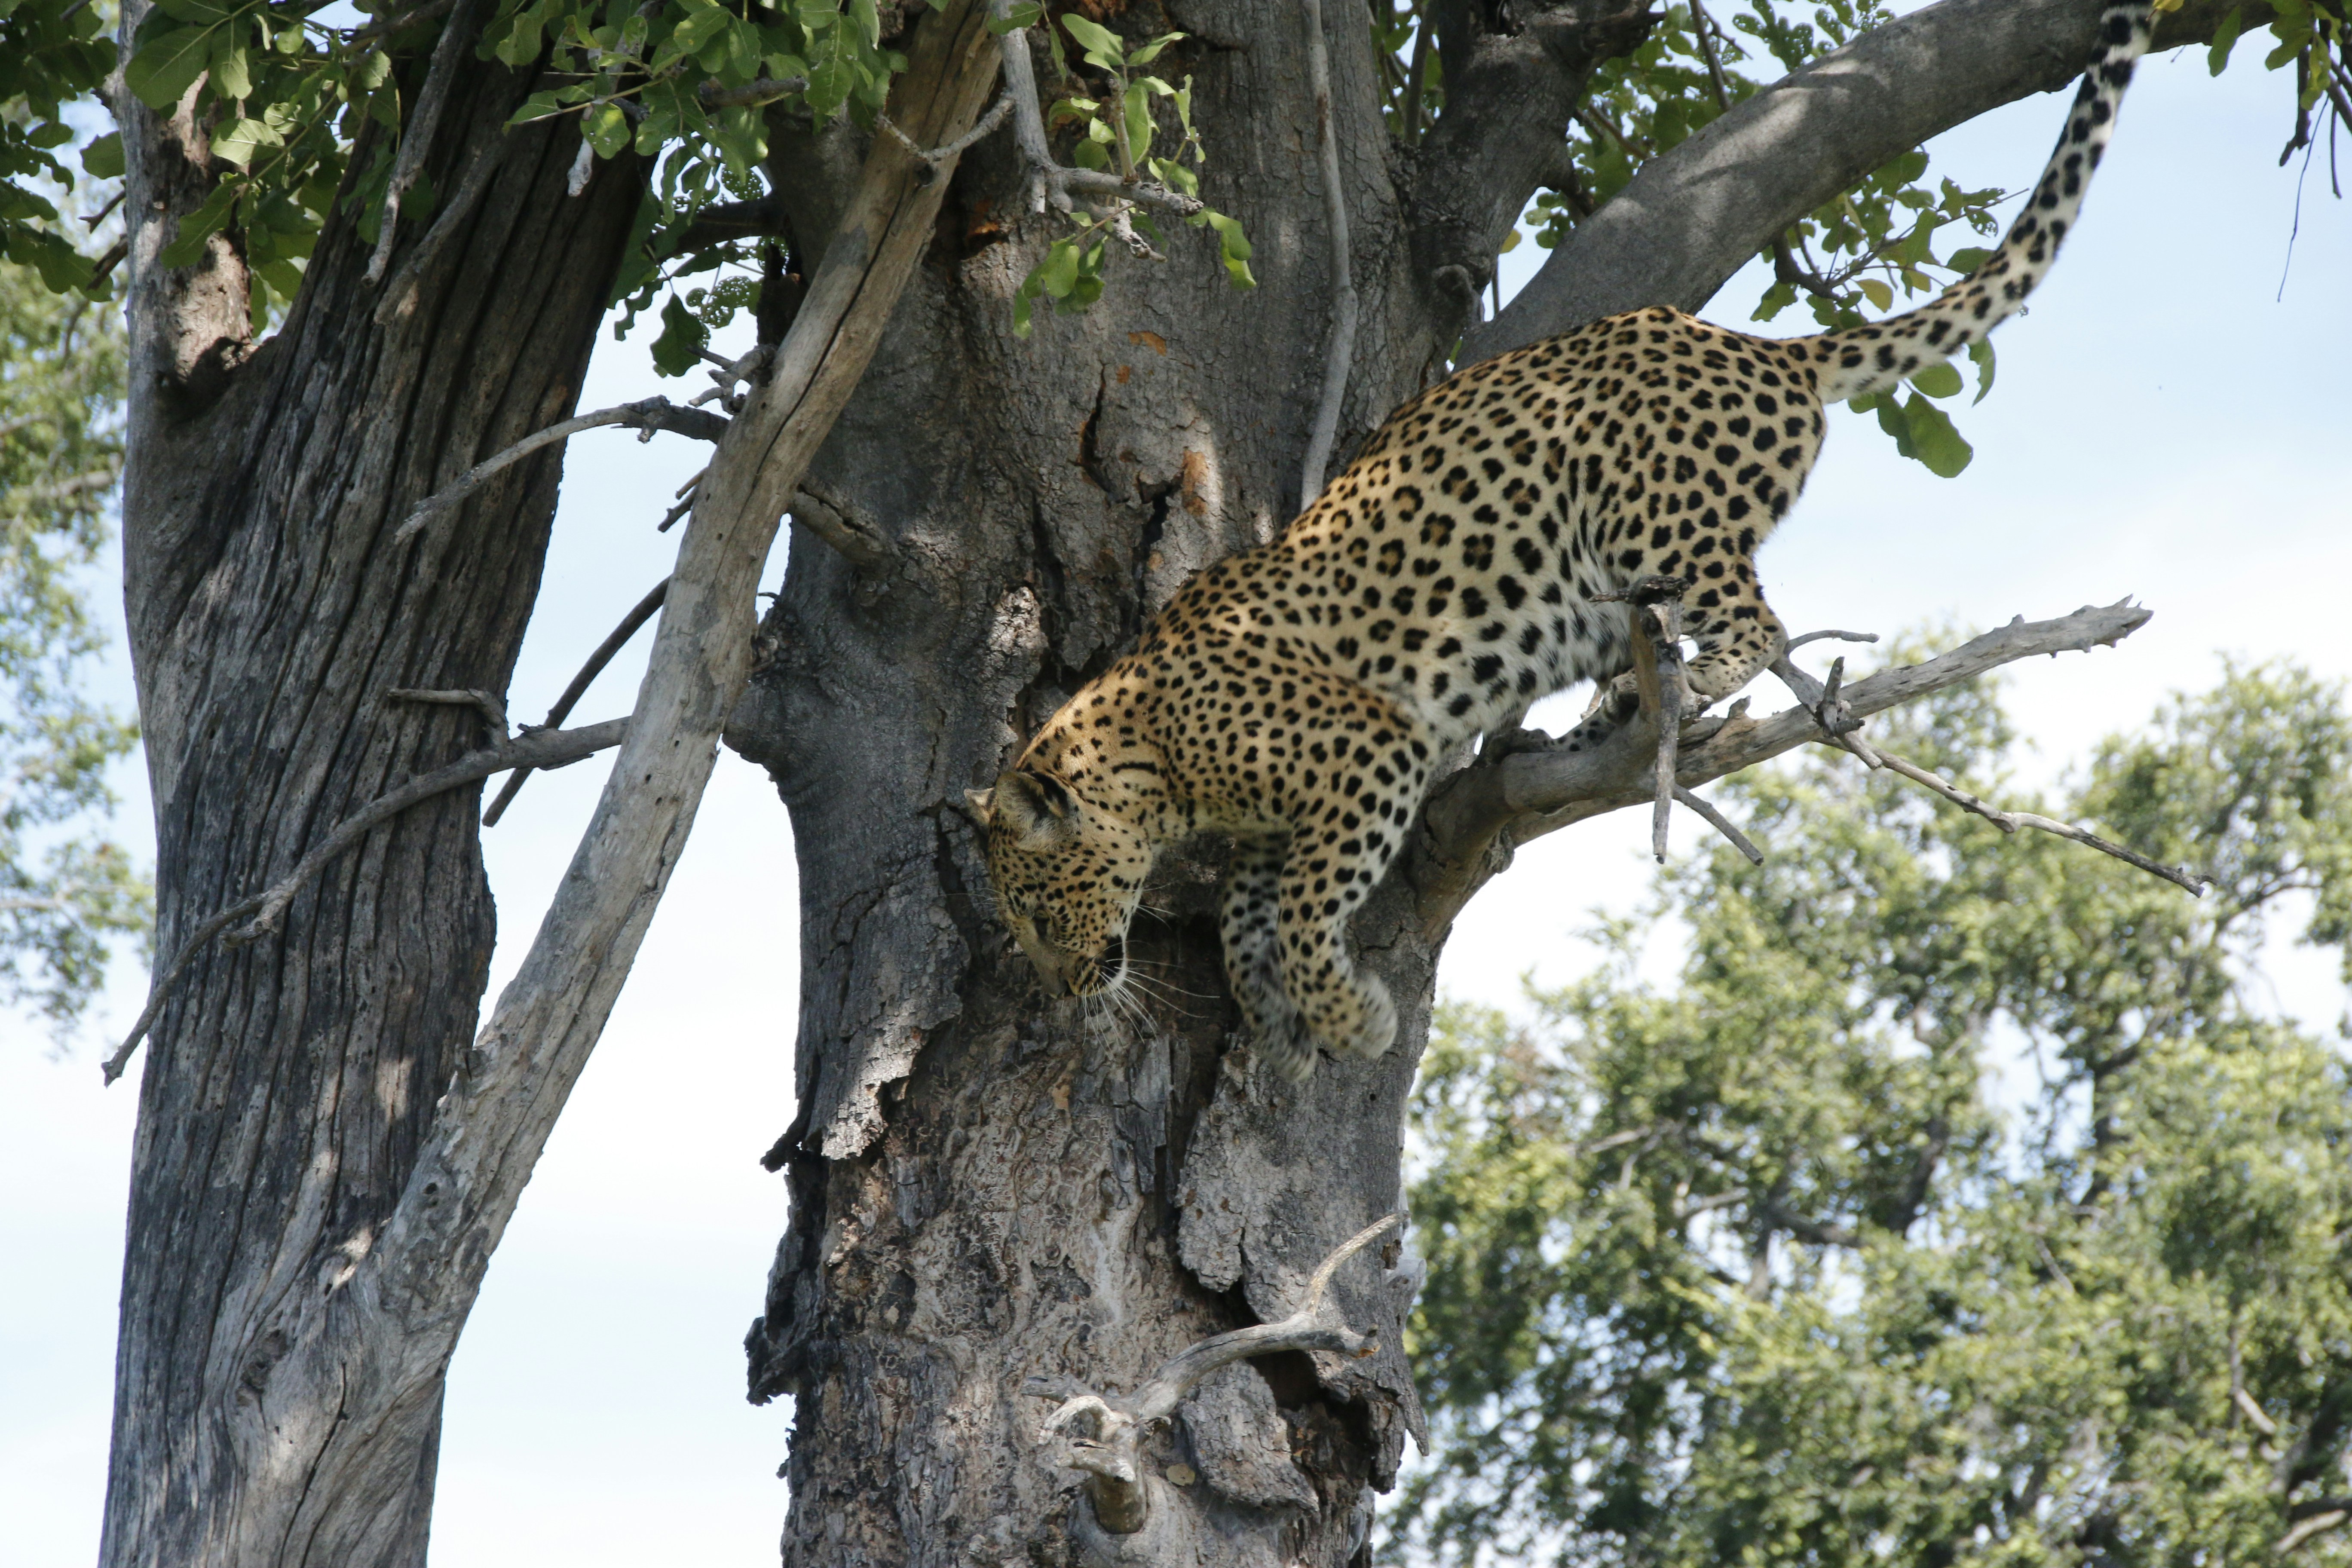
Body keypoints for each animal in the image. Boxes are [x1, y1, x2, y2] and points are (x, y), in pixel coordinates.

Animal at [968, 0, 2155, 1081]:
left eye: (1036, 905)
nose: (1061, 989)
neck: (1155, 756)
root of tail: (1764, 350)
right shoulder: (1278, 832)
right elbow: (1252, 923)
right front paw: (1282, 1026)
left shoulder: (1368, 753)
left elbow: (1306, 915)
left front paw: (1351, 1019)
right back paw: (1614, 709)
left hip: (1647, 516)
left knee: (1758, 622)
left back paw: (1686, 686)